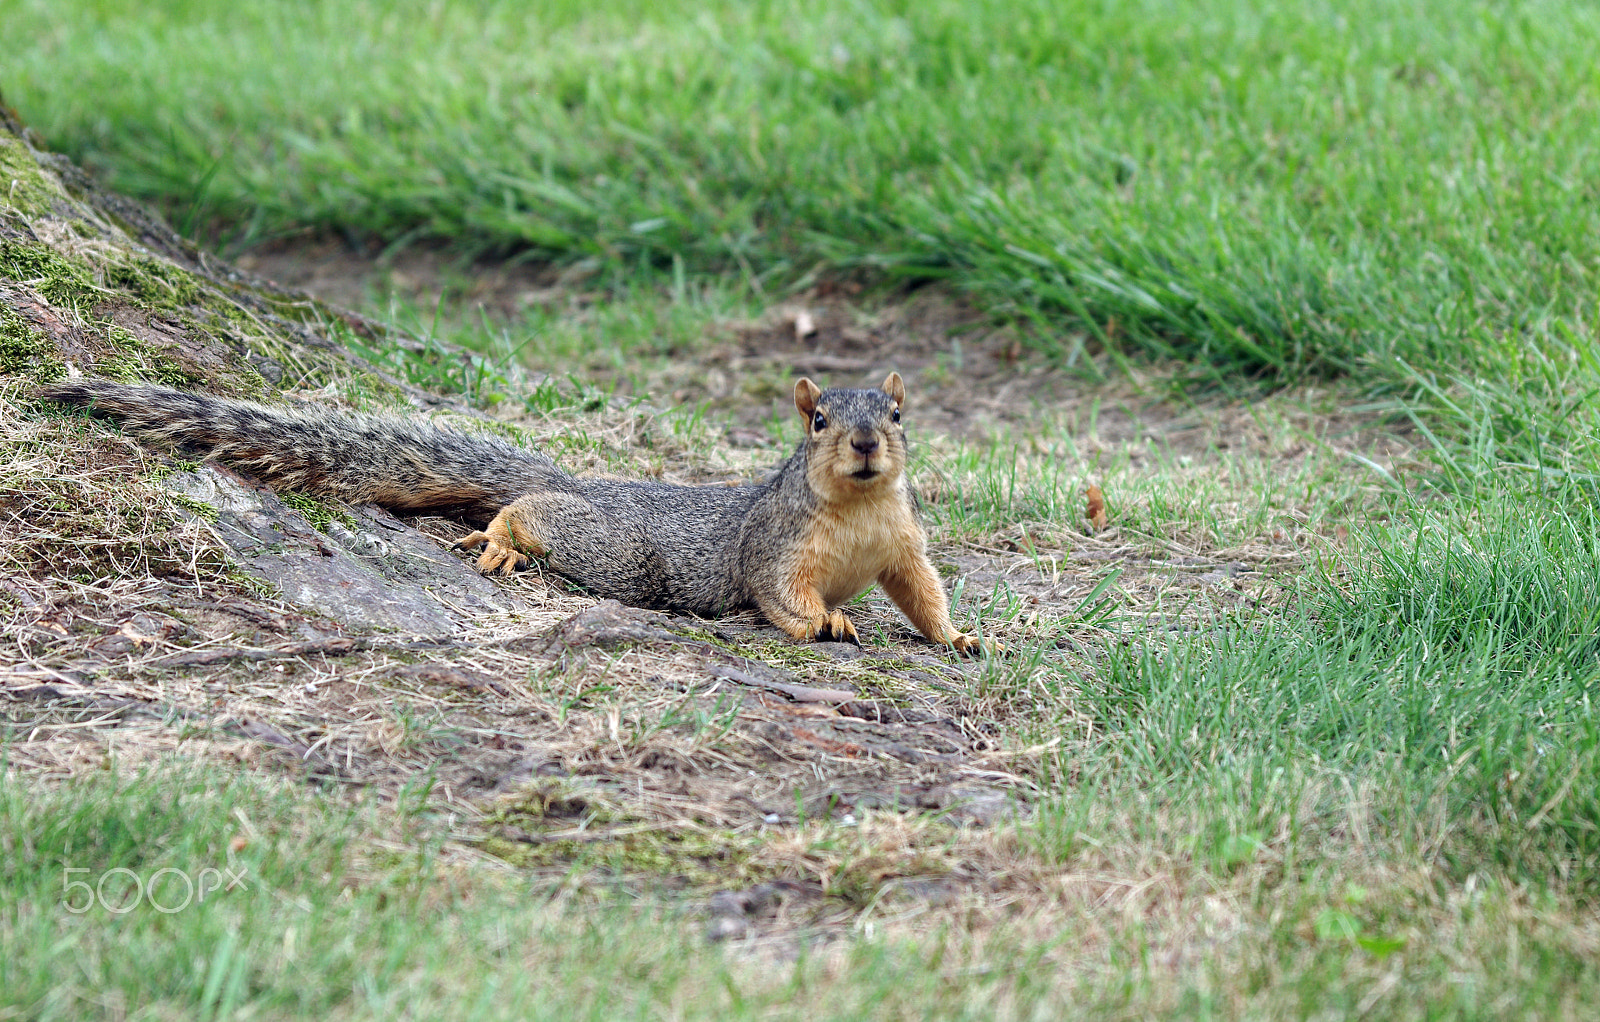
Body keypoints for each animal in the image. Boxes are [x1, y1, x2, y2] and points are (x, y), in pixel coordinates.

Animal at [43, 371, 992, 652]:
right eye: (818, 421)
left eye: (897, 414)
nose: (865, 444)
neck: (859, 507)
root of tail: (593, 487)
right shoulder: (777, 548)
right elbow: (781, 596)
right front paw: (825, 622)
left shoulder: (904, 545)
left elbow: (925, 593)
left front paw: (958, 637)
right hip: (616, 550)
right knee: (533, 512)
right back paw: (504, 537)